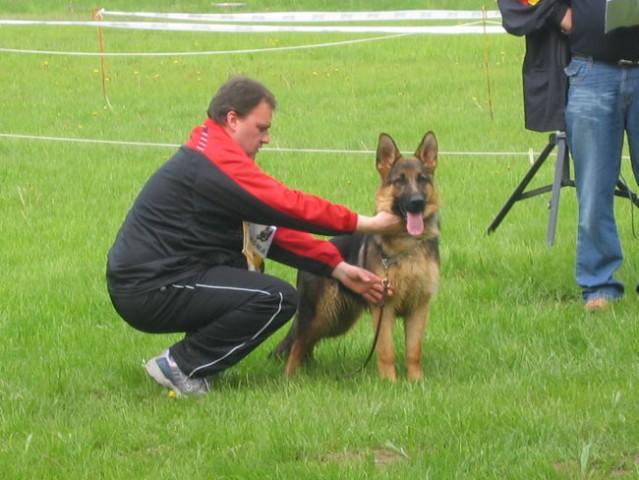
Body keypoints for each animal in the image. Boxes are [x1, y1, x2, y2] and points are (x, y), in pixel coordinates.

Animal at [270, 131, 440, 382]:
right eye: (399, 181)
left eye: (422, 179)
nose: (417, 202)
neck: (407, 246)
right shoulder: (384, 309)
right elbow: (386, 350)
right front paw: (390, 382)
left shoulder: (419, 308)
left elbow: (414, 351)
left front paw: (416, 382)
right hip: (320, 316)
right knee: (297, 345)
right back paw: (290, 380)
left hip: (336, 320)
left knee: (306, 345)